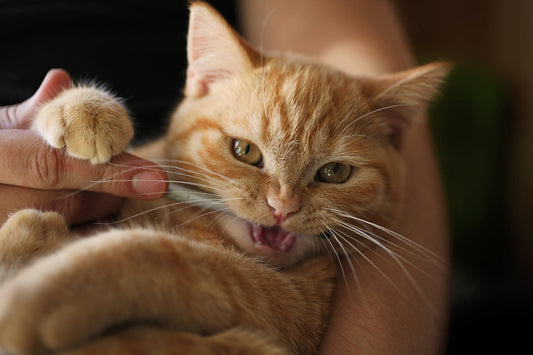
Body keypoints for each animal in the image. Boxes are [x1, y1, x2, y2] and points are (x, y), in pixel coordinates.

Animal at [0, 2, 446, 355]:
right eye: (244, 151)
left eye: (334, 173)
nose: (282, 207)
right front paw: (84, 110)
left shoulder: (289, 303)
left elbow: (160, 257)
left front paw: (41, 296)